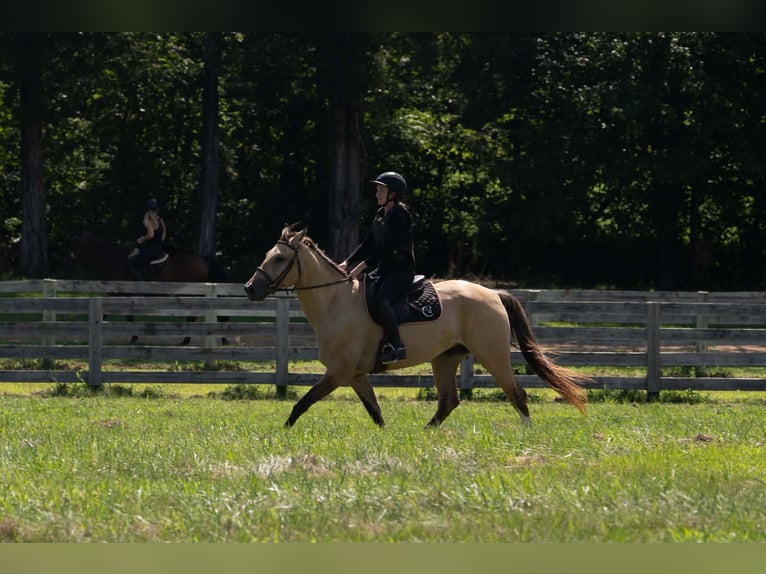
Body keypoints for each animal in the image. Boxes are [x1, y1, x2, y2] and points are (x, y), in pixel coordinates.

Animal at [71, 230, 229, 345]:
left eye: (78, 245)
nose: (75, 262)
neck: (113, 260)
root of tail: (201, 259)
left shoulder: (120, 295)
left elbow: (123, 316)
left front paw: (133, 337)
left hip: (191, 294)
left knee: (193, 316)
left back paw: (188, 340)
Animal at [244, 223, 594, 428]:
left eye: (279, 259)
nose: (250, 288)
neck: (335, 302)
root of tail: (493, 293)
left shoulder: (338, 373)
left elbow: (302, 403)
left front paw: (284, 432)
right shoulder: (356, 375)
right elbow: (375, 413)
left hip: (492, 355)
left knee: (516, 393)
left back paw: (526, 432)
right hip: (445, 358)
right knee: (449, 401)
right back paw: (427, 433)